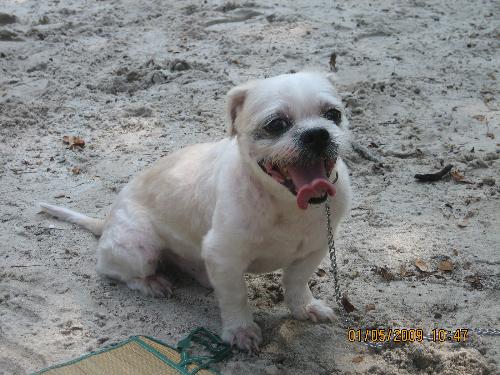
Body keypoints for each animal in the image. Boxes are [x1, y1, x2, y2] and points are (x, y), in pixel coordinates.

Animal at [40, 71, 352, 352]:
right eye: (276, 124)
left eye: (333, 114)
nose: (317, 134)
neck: (285, 204)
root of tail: (106, 222)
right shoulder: (223, 256)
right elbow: (236, 297)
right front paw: (241, 331)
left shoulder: (314, 249)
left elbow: (296, 282)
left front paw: (305, 308)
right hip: (139, 248)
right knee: (113, 270)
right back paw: (151, 283)